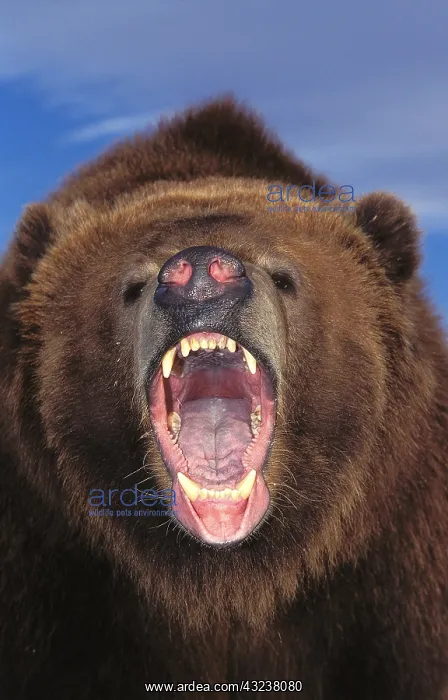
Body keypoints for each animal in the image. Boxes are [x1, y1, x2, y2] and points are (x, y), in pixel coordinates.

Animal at [0, 96, 447, 699]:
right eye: (131, 285)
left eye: (285, 276)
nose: (201, 277)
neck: (225, 579)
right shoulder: (43, 572)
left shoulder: (397, 574)